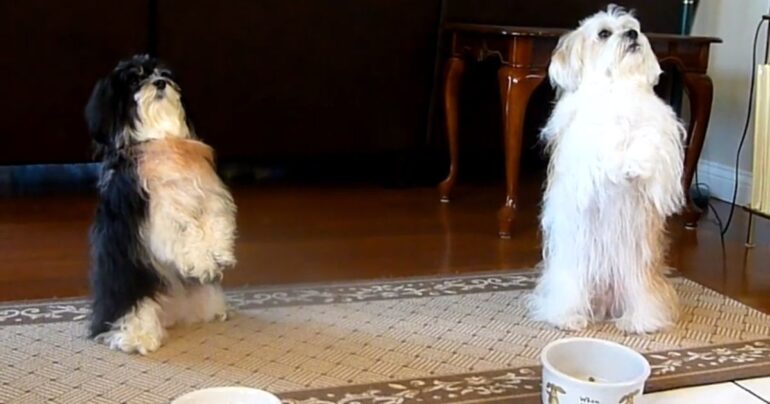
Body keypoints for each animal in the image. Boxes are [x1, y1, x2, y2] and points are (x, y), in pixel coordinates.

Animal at [85, 52, 236, 354]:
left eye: (164, 73)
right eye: (134, 80)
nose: (159, 83)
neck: (162, 141)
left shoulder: (208, 195)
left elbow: (214, 222)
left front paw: (219, 254)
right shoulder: (155, 214)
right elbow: (185, 231)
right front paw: (201, 262)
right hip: (129, 282)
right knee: (131, 310)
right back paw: (137, 338)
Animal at [528, 5, 684, 334]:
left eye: (632, 26)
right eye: (603, 33)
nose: (633, 34)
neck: (618, 87)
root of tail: (605, 301)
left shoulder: (658, 131)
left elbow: (646, 142)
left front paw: (635, 164)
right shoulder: (586, 144)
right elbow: (606, 143)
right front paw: (620, 160)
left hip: (638, 275)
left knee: (643, 299)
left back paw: (639, 321)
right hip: (573, 275)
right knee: (570, 297)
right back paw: (568, 318)